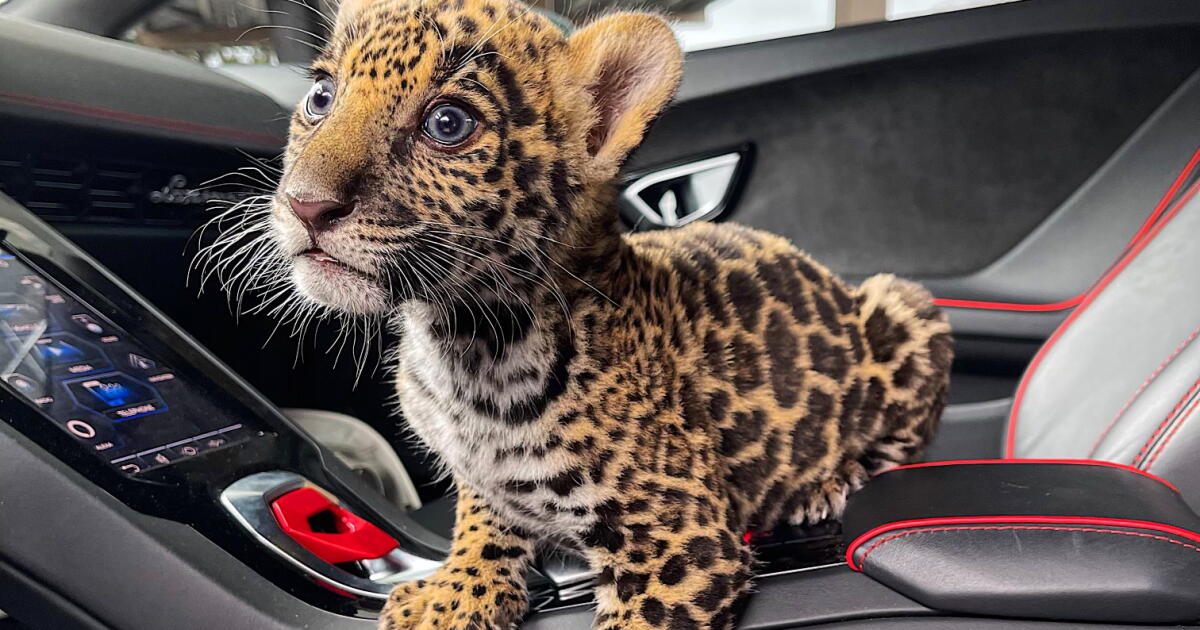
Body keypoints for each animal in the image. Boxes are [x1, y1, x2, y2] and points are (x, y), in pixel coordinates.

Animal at [225, 0, 955, 628]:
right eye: (321, 97)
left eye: (448, 123)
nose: (305, 204)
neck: (462, 343)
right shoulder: (479, 476)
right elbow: (482, 517)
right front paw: (455, 589)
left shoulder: (681, 543)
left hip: (905, 305)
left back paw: (824, 484)